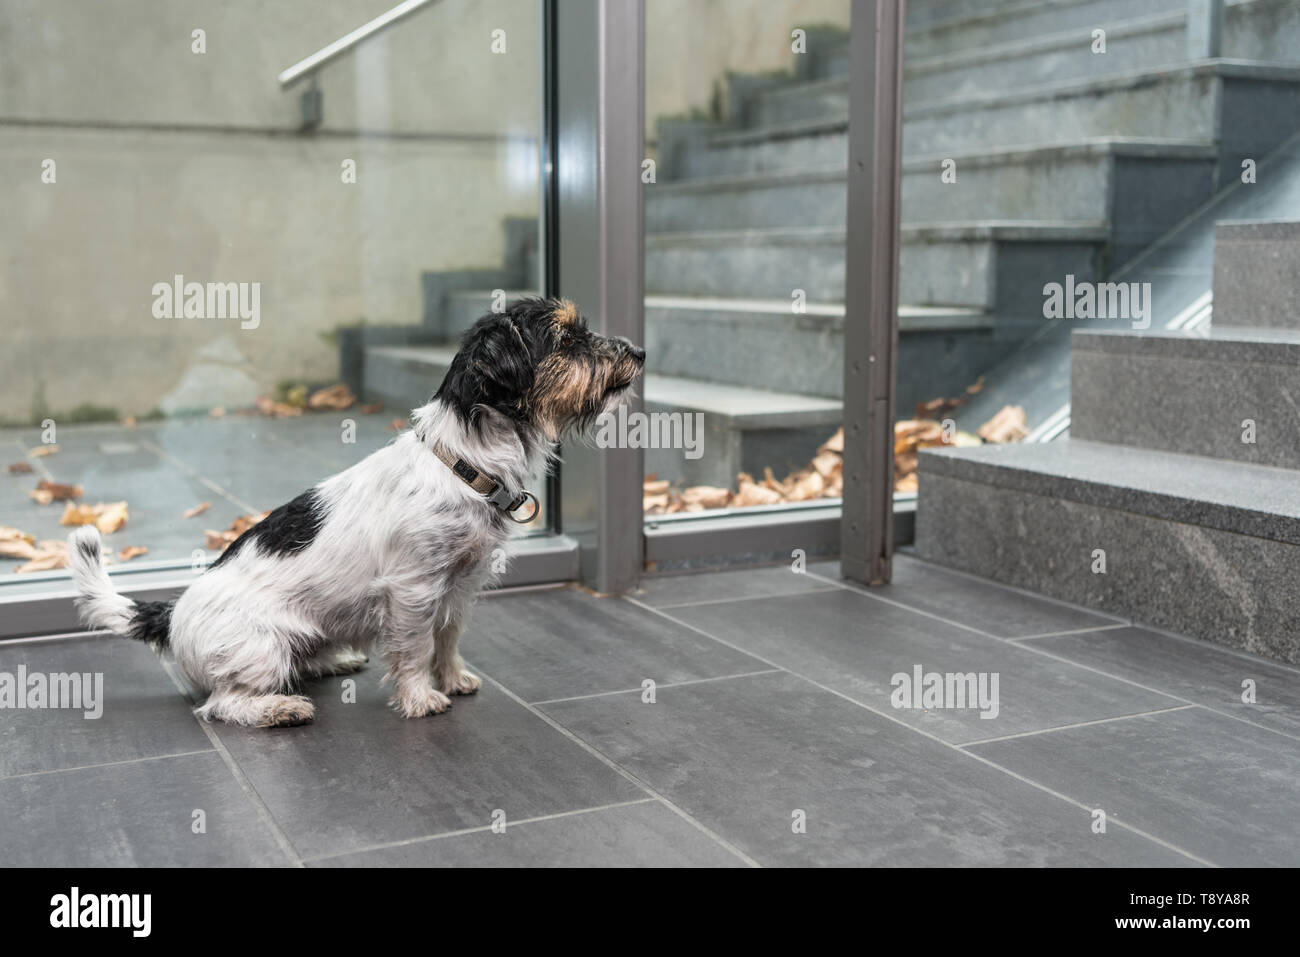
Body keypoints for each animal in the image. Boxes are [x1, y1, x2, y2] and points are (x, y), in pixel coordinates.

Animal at [65, 299, 644, 722]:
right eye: (567, 339)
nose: (639, 350)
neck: (463, 462)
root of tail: (171, 614)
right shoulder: (413, 589)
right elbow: (414, 647)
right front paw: (420, 698)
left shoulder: (460, 586)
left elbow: (448, 638)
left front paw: (453, 679)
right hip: (261, 650)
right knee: (222, 705)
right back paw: (280, 709)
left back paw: (332, 659)